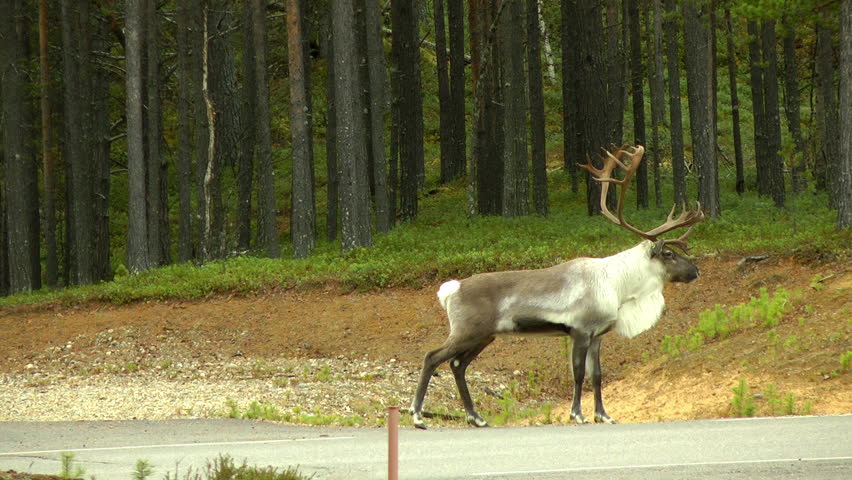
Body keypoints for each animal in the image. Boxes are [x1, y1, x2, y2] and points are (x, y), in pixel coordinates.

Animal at [410, 145, 705, 429]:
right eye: (669, 254)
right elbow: (578, 374)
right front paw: (578, 415)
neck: (618, 287)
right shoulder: (580, 330)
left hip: (485, 335)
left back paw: (476, 418)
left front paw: (604, 415)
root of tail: (450, 290)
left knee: (457, 365)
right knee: (432, 357)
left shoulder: (598, 335)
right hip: (467, 330)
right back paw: (418, 416)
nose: (696, 271)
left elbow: (597, 376)